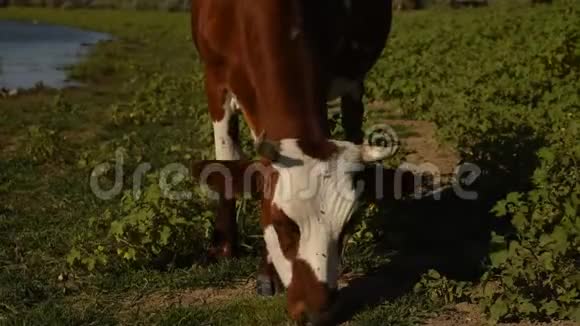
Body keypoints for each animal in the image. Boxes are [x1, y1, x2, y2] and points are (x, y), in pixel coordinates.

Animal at [191, 0, 398, 324]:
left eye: (348, 223)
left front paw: (267, 274)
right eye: (281, 223)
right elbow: (224, 165)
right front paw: (224, 249)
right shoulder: (214, 79)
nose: (318, 313)